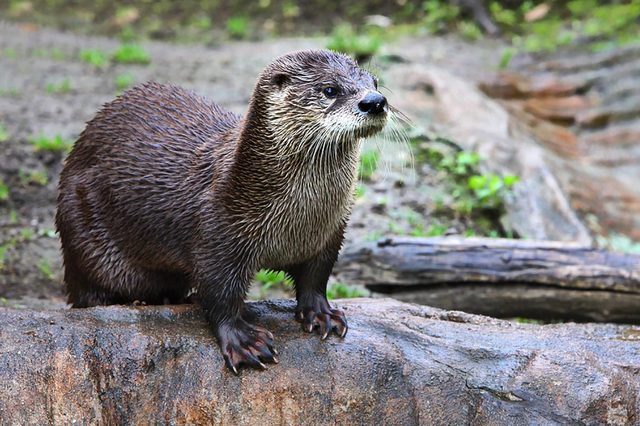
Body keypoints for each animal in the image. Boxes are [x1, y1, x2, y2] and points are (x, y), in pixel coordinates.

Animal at [56, 49, 388, 373]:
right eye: (329, 90)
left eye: (374, 82)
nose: (375, 102)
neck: (298, 221)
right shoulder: (217, 233)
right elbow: (219, 293)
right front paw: (243, 341)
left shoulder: (330, 234)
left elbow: (315, 278)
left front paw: (321, 313)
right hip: (82, 236)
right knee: (90, 293)